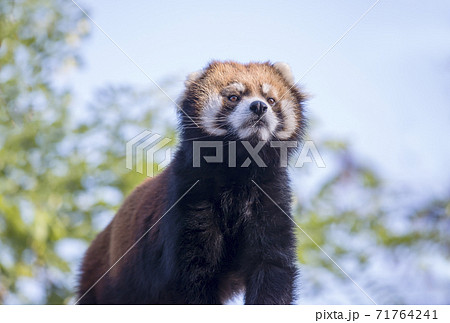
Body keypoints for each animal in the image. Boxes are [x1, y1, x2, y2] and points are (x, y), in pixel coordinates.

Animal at [78, 61, 306, 306]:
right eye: (233, 97)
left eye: (271, 100)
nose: (259, 107)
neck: (238, 169)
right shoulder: (190, 195)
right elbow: (193, 274)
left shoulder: (270, 195)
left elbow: (271, 265)